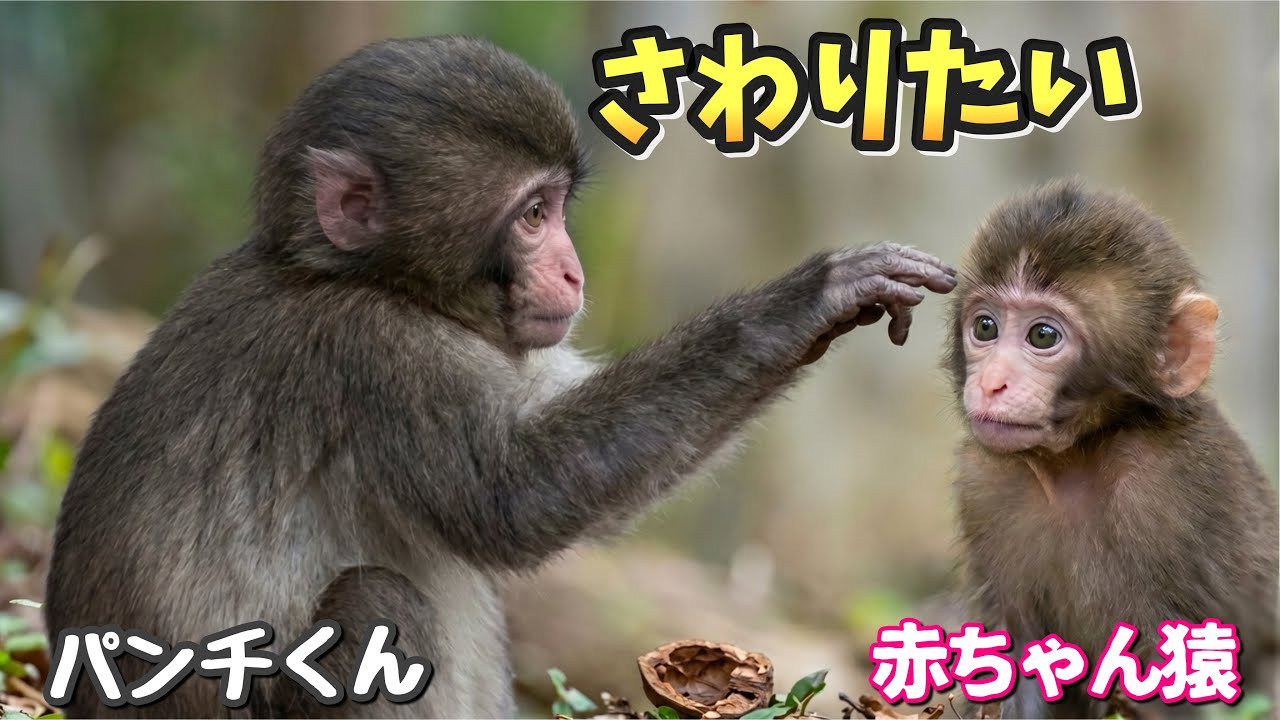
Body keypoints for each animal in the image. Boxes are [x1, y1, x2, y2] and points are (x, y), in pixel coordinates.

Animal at [43, 36, 958, 719]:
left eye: (557, 210)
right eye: (532, 215)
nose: (575, 272)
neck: (359, 276)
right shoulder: (373, 352)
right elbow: (517, 498)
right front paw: (803, 305)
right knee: (377, 603)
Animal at [945, 179, 1278, 719]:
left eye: (1043, 335)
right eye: (986, 327)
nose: (993, 382)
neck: (1074, 461)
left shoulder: (1167, 489)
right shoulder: (984, 484)